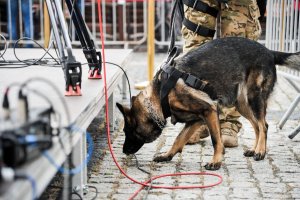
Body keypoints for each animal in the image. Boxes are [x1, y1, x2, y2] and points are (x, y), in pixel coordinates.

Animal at [116, 37, 300, 170]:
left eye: (128, 131)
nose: (123, 151)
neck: (162, 94)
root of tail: (269, 51)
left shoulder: (210, 110)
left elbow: (216, 140)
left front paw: (216, 161)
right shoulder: (196, 119)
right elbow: (178, 138)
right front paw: (167, 155)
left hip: (254, 98)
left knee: (263, 126)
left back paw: (260, 151)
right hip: (242, 104)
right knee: (257, 126)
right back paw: (255, 149)